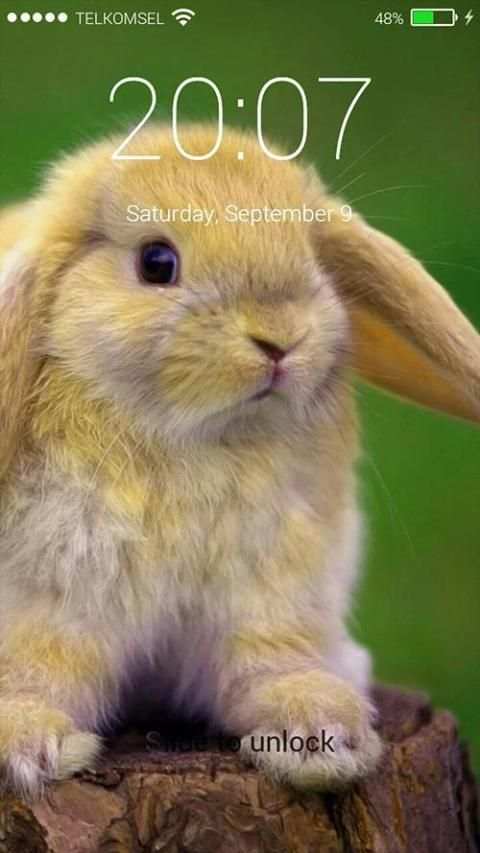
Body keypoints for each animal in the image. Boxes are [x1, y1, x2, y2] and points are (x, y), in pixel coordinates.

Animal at [0, 123, 479, 801]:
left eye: (311, 254)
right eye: (157, 262)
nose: (280, 338)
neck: (198, 439)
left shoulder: (268, 596)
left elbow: (267, 665)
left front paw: (323, 734)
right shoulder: (56, 602)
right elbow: (41, 669)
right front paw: (26, 746)